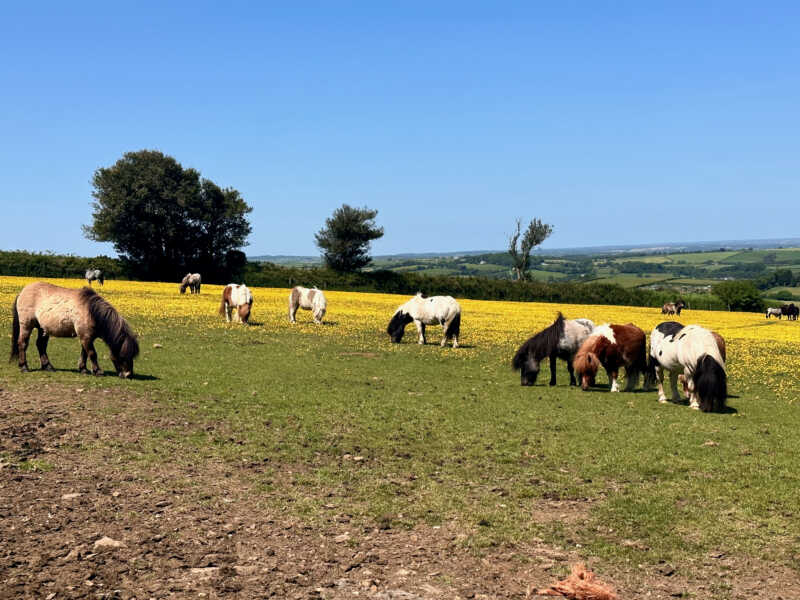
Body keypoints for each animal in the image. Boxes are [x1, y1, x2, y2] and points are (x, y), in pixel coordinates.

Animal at [10, 282, 138, 378]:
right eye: (123, 356)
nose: (128, 375)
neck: (91, 311)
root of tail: (22, 292)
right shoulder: (86, 337)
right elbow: (92, 353)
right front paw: (97, 371)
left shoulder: (86, 337)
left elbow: (85, 353)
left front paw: (83, 369)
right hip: (26, 325)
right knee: (22, 343)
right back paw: (24, 367)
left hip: (43, 328)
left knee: (41, 345)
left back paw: (48, 366)